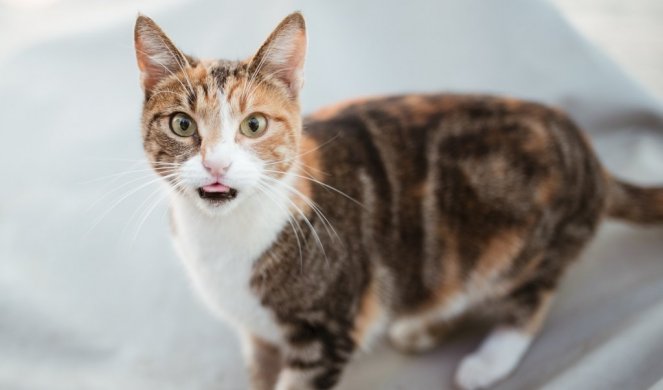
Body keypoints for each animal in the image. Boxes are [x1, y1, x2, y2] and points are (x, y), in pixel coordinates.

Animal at [132, 12, 663, 390]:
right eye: (182, 124)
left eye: (254, 125)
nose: (216, 165)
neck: (224, 241)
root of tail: (590, 157)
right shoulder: (256, 333)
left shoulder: (326, 330)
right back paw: (421, 327)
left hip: (526, 242)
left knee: (530, 296)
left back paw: (488, 360)